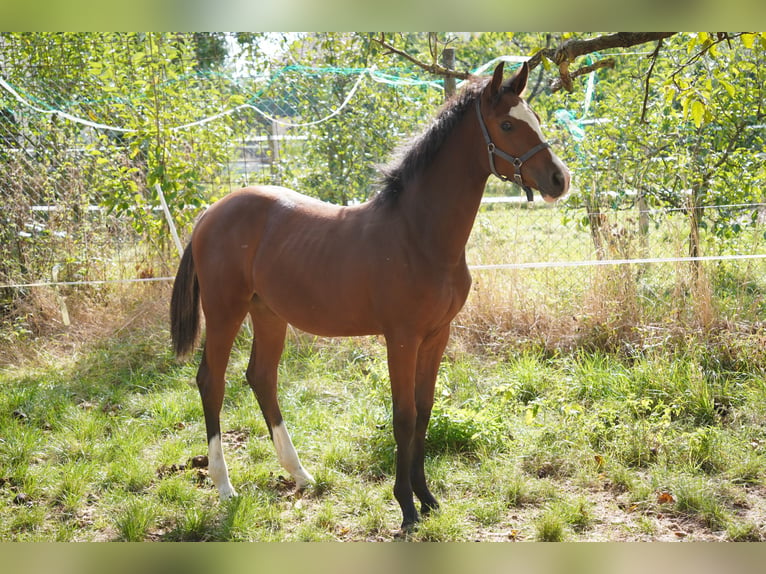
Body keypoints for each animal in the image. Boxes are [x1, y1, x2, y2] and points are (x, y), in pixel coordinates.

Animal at [172, 63, 568, 536]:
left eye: (536, 119)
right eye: (507, 124)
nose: (559, 180)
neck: (419, 235)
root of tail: (209, 213)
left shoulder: (437, 336)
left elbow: (425, 411)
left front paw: (428, 499)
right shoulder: (401, 338)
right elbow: (404, 416)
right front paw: (407, 508)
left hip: (267, 313)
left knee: (261, 377)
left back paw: (300, 474)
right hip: (224, 311)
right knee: (212, 381)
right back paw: (225, 485)